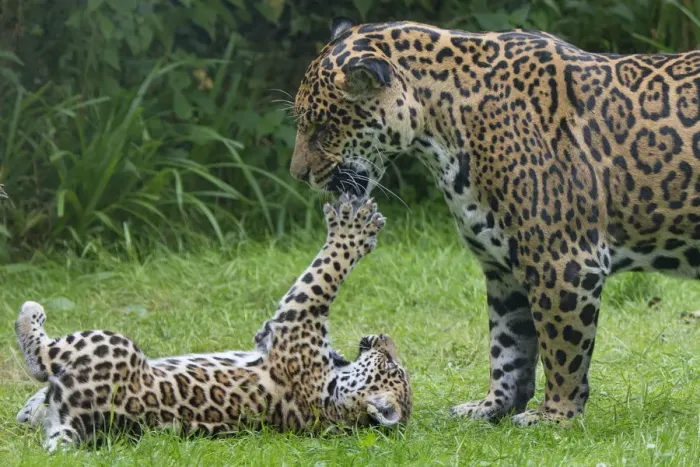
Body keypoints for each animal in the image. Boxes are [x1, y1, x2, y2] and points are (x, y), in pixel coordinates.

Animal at [15, 195, 412, 451]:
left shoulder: (297, 316)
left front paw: (352, 230)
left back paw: (30, 313)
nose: (383, 337)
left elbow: (329, 269)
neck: (332, 402)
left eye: (391, 365)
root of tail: (81, 425)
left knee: (41, 358)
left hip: (112, 344)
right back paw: (28, 408)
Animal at [288, 17, 700, 426]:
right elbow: (508, 347)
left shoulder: (562, 262)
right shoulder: (503, 270)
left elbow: (561, 350)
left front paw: (555, 416)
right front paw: (492, 407)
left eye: (322, 127)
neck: (440, 131)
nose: (298, 175)